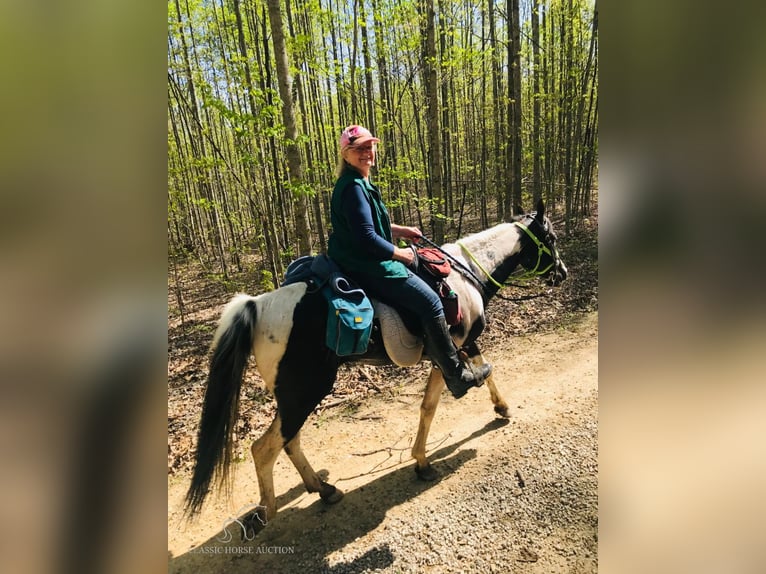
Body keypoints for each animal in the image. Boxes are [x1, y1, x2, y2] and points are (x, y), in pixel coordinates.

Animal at [186, 200, 568, 528]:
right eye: (549, 238)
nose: (562, 273)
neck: (465, 275)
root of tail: (256, 305)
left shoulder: (465, 344)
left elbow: (485, 370)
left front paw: (501, 408)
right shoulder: (447, 352)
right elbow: (431, 405)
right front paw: (422, 462)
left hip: (293, 395)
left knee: (289, 441)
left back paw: (324, 490)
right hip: (304, 391)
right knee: (264, 449)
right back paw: (267, 512)